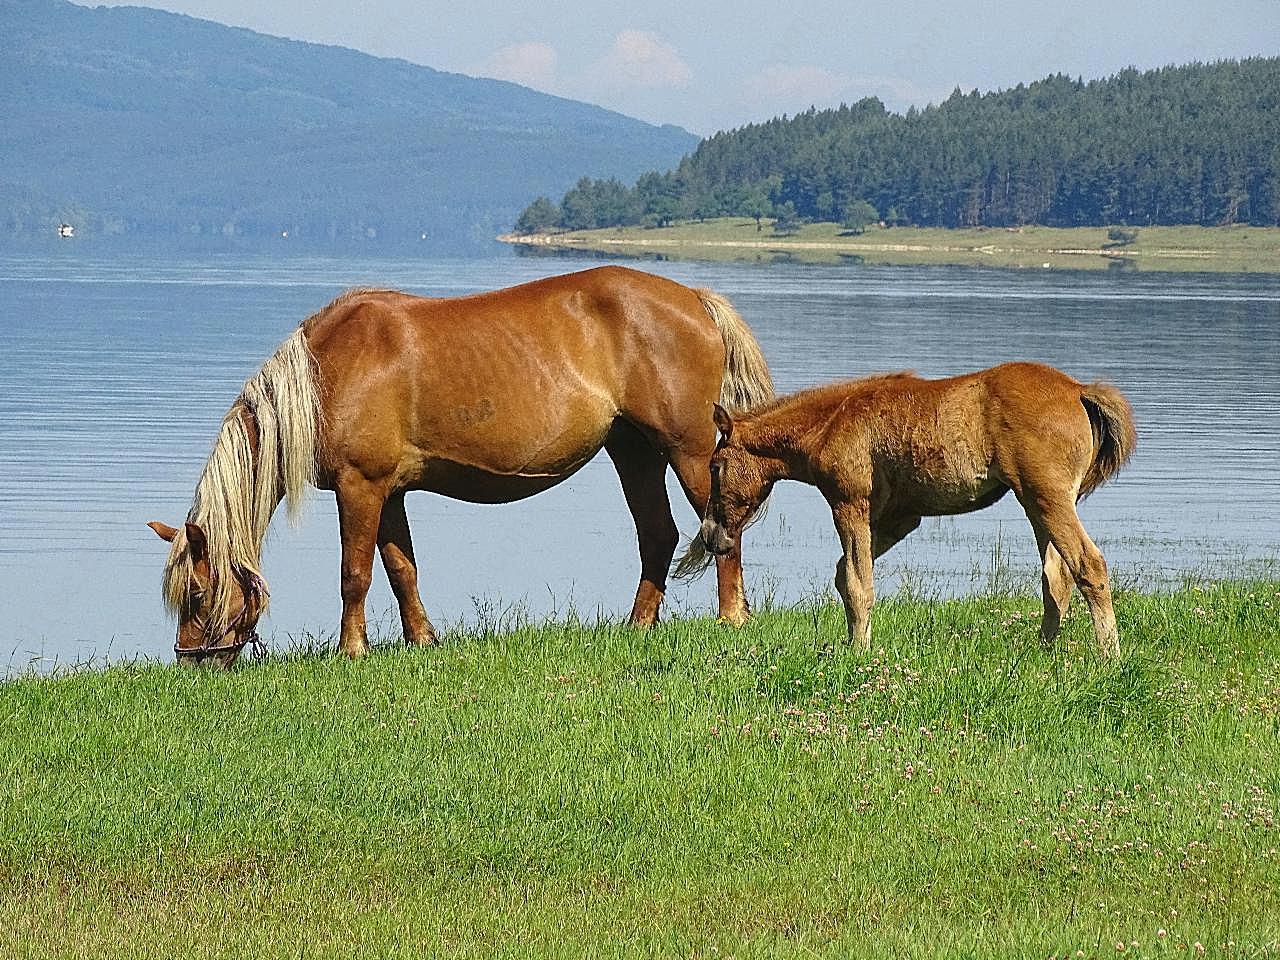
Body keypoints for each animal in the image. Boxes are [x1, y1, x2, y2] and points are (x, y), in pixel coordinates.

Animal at [148, 267, 768, 665]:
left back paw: (731, 616)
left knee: (722, 530)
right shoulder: (389, 493)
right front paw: (421, 639)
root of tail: (694, 298)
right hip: (633, 451)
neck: (327, 371)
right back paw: (638, 625)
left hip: (688, 451)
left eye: (197, 593)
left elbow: (355, 574)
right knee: (658, 535)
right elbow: (401, 570)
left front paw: (352, 650)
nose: (192, 662)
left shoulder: (360, 486)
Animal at [686, 363, 1136, 660]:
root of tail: (1078, 390)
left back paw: (1109, 655)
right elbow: (844, 574)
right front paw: (853, 642)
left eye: (715, 466)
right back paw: (1044, 651)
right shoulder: (900, 518)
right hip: (1037, 505)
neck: (832, 422)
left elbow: (857, 581)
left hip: (1048, 499)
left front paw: (859, 653)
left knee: (1089, 565)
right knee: (1056, 577)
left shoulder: (849, 503)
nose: (709, 535)